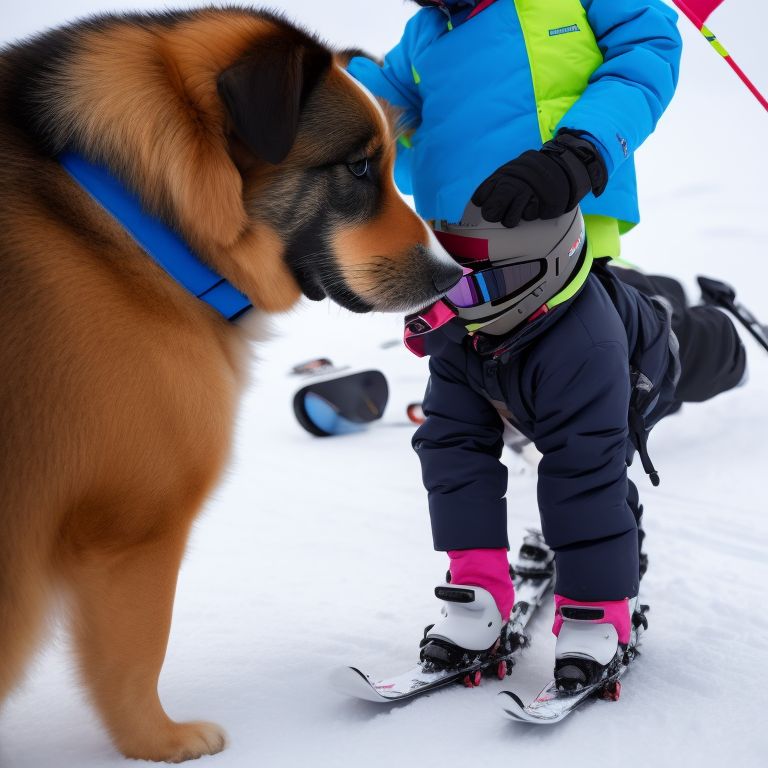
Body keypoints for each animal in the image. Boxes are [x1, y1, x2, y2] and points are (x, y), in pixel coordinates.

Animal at [0, 7, 460, 760]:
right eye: (360, 166)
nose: (452, 276)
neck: (132, 219)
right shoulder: (136, 528)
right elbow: (135, 654)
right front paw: (160, 742)